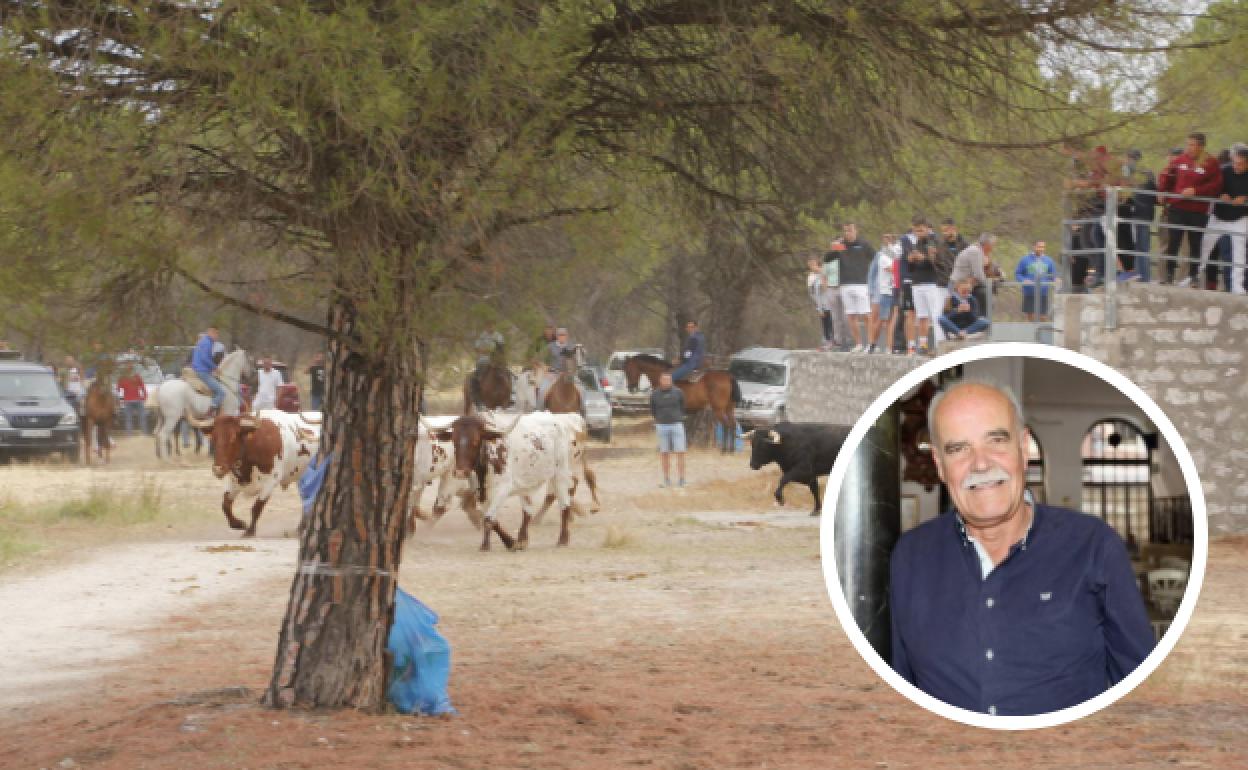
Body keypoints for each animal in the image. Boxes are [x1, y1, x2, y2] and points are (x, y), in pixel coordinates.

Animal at [189, 409, 319, 534]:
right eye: (213, 439)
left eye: (233, 438)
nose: (217, 469)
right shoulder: (233, 481)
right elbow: (225, 505)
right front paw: (239, 524)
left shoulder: (271, 481)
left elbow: (257, 507)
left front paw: (250, 530)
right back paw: (301, 528)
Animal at [436, 411, 586, 549]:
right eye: (454, 442)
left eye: (475, 441)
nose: (460, 472)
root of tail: (563, 420)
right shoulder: (480, 493)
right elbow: (492, 520)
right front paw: (510, 542)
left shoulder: (502, 489)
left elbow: (489, 519)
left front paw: (487, 545)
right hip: (527, 483)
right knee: (527, 510)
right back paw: (522, 539)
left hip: (560, 474)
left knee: (564, 505)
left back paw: (563, 539)